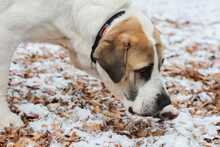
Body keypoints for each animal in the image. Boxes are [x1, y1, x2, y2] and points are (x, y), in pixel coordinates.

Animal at [0, 0, 171, 128]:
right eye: (143, 70)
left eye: (160, 65)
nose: (165, 101)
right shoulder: (6, 33)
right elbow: (1, 83)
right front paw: (5, 118)